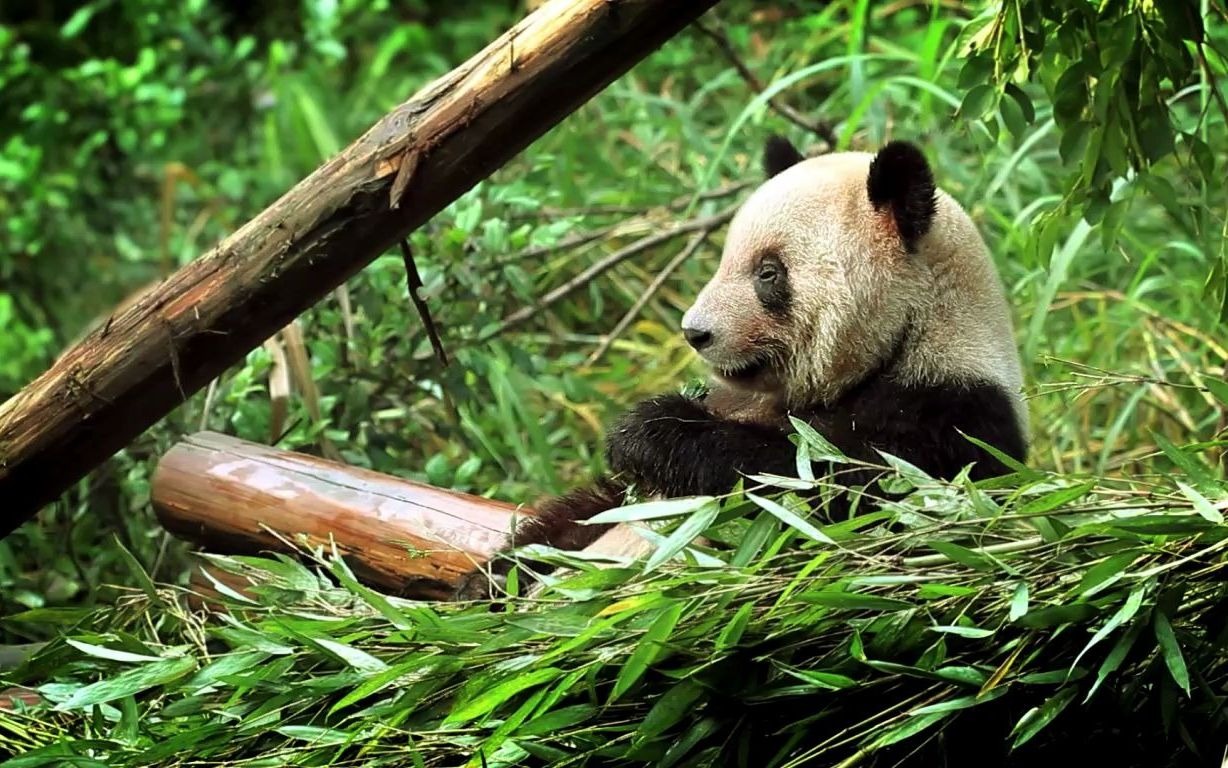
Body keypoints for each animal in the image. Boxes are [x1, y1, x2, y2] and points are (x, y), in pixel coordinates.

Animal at [451, 139, 1026, 604]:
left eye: (768, 273)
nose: (695, 332)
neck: (909, 335)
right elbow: (590, 508)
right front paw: (487, 579)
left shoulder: (946, 418)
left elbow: (826, 493)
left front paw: (650, 430)